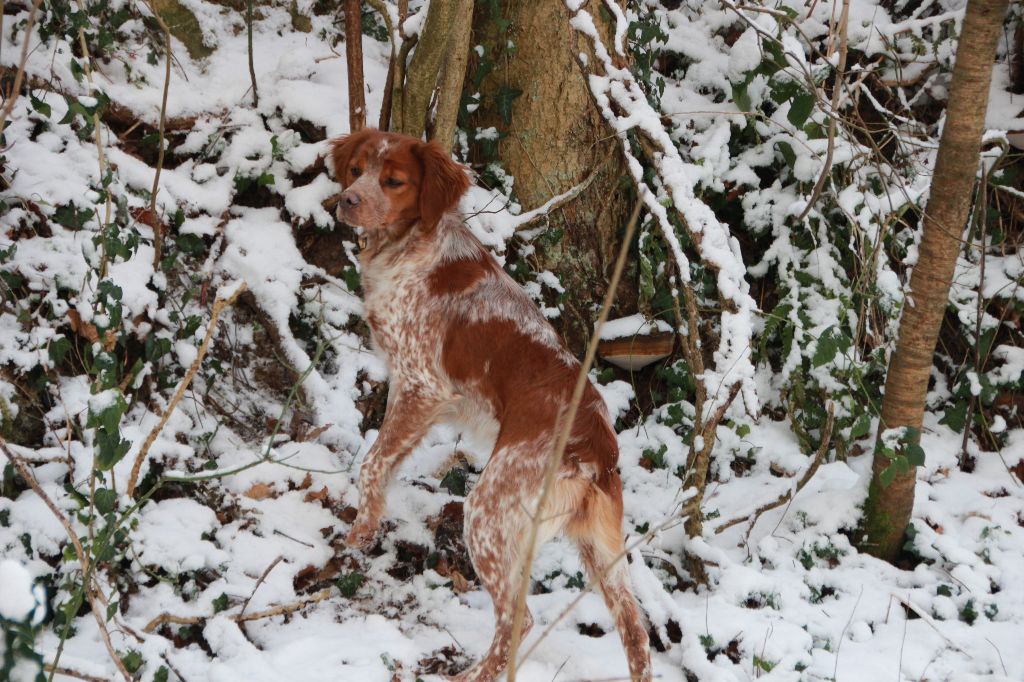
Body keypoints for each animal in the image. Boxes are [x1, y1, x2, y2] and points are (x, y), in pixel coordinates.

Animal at [329, 127, 647, 679]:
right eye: (356, 170)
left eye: (393, 181)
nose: (349, 201)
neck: (409, 247)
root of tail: (598, 447)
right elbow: (385, 462)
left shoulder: (422, 386)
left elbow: (372, 463)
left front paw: (357, 538)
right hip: (600, 545)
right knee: (635, 630)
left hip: (488, 511)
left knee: (519, 617)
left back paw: (474, 673)